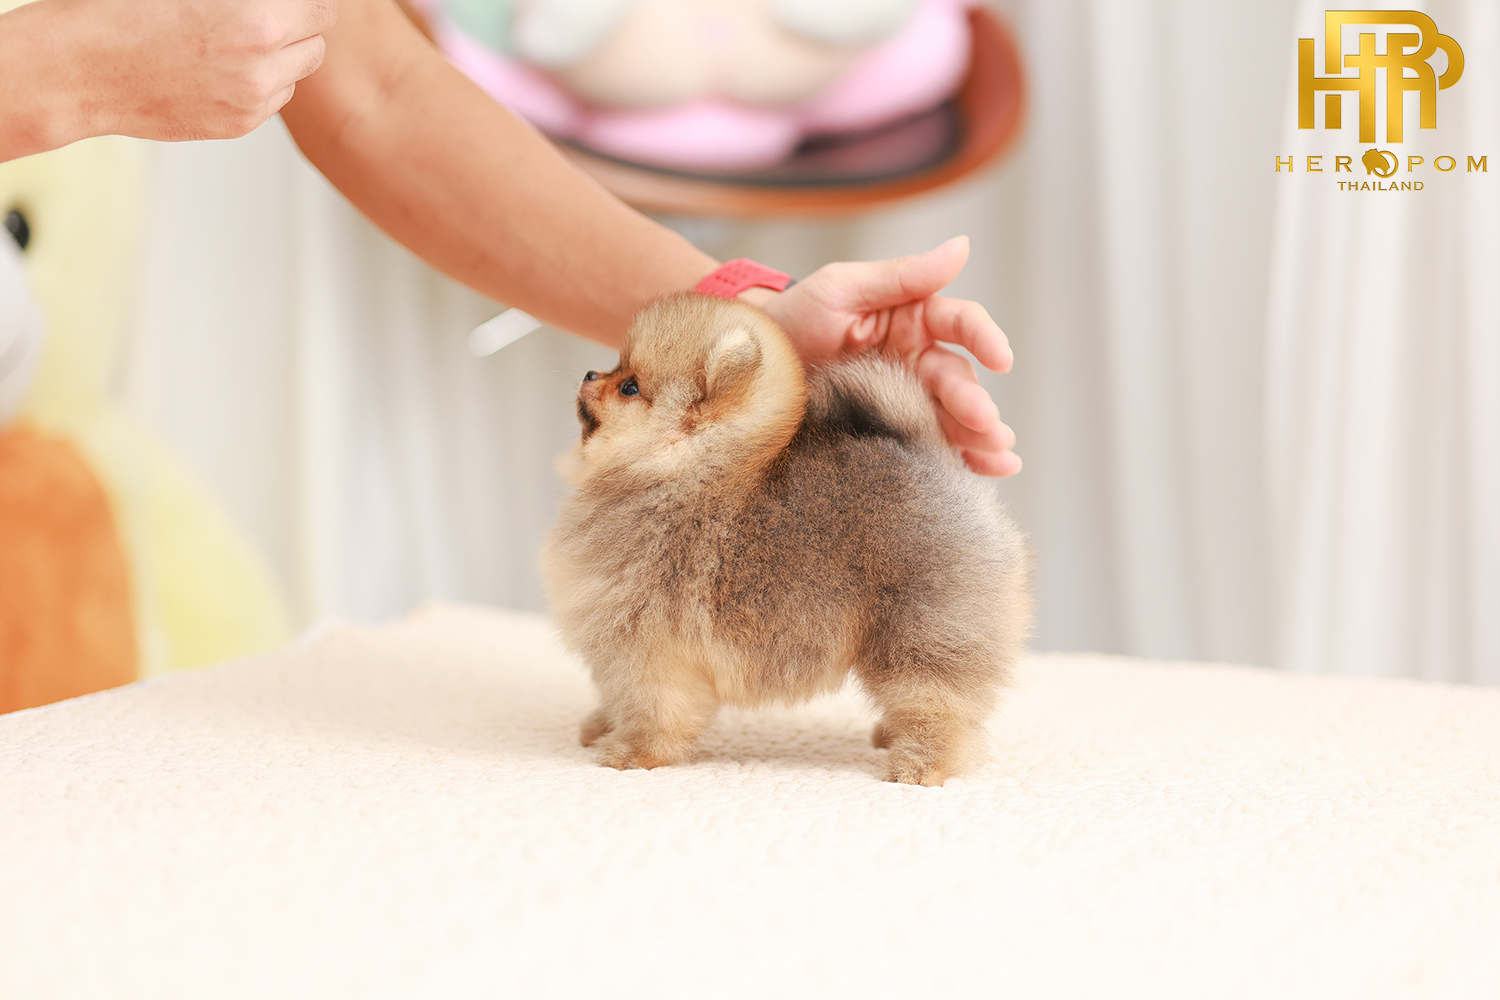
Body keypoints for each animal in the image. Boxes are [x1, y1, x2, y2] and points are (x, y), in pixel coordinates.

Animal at [542, 294, 1031, 785]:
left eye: (629, 387)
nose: (590, 374)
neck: (674, 470)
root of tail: (930, 457)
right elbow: (618, 697)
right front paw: (602, 727)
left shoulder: (649, 648)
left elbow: (652, 711)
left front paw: (632, 753)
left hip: (923, 631)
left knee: (939, 704)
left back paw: (920, 765)